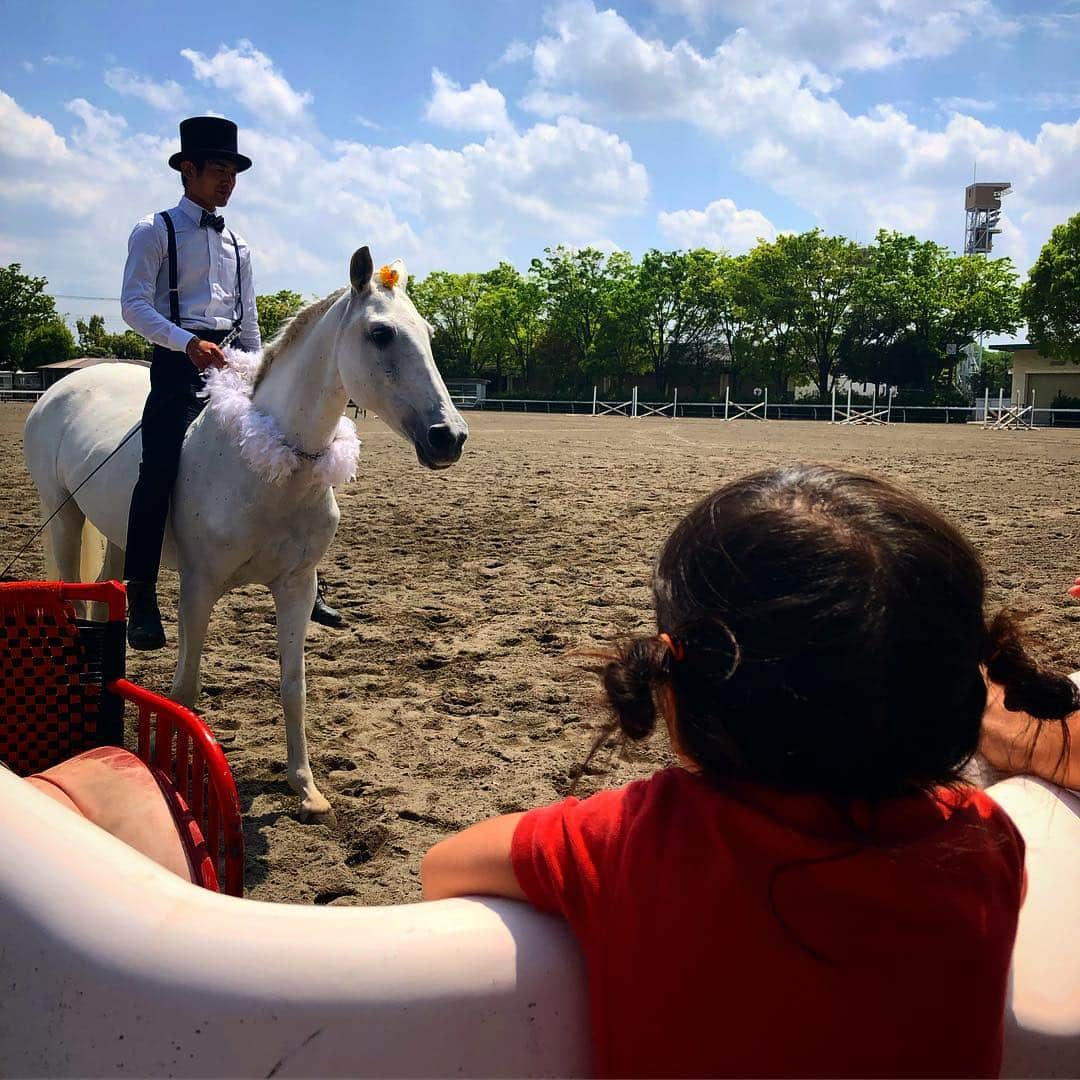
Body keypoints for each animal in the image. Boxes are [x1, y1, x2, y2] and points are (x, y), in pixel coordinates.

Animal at [23, 250, 466, 816]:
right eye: (381, 333)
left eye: (428, 333)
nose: (449, 437)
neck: (269, 460)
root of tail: (63, 387)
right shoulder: (199, 588)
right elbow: (185, 693)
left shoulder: (297, 587)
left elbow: (294, 687)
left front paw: (305, 787)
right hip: (63, 516)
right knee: (79, 599)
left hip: (118, 535)